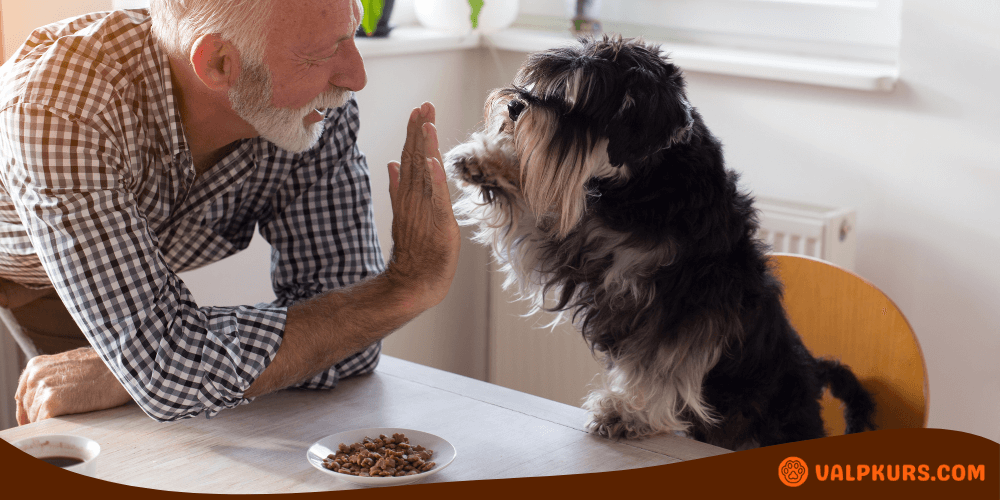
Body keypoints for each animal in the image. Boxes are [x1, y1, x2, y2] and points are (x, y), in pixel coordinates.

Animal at [446, 36, 876, 450]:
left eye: (578, 99)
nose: (514, 105)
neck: (647, 184)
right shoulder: (579, 246)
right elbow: (536, 214)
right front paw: (484, 160)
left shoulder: (686, 304)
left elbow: (661, 364)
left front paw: (627, 413)